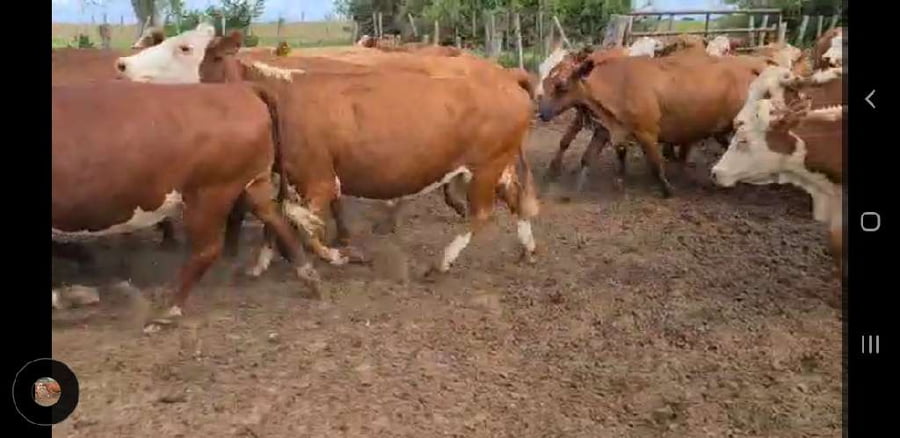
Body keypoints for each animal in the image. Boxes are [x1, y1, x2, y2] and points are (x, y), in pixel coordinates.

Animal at [190, 32, 540, 277]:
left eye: (210, 58)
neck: (283, 97)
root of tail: (507, 76)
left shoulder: (318, 179)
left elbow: (304, 227)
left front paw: (342, 255)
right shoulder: (295, 179)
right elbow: (276, 222)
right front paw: (260, 264)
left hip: (486, 166)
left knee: (482, 213)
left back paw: (441, 262)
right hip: (497, 165)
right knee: (514, 198)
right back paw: (528, 249)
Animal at [538, 53, 768, 197]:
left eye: (561, 85)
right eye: (546, 81)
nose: (542, 113)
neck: (620, 83)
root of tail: (750, 67)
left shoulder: (647, 132)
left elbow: (656, 164)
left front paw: (668, 190)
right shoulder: (612, 129)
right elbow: (601, 156)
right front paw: (600, 184)